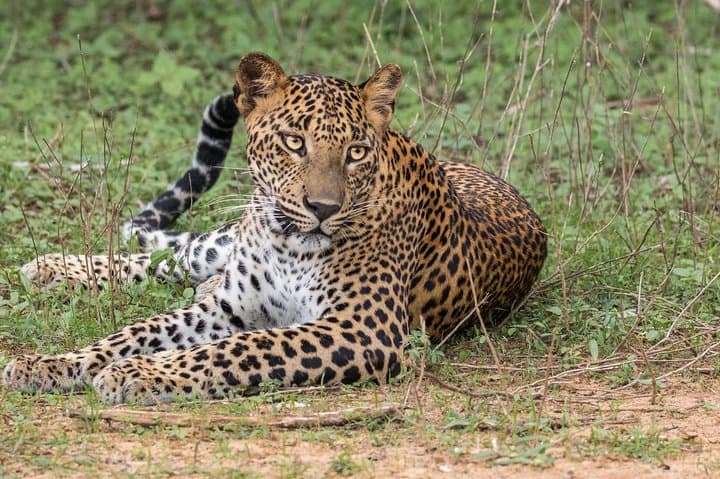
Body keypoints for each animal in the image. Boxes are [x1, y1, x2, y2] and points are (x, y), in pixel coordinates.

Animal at [3, 52, 547, 405]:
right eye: (293, 142)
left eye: (356, 152)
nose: (323, 207)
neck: (291, 247)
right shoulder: (229, 308)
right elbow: (133, 332)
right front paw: (50, 363)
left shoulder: (360, 329)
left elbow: (239, 349)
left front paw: (135, 374)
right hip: (217, 243)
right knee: (165, 258)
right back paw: (50, 268)